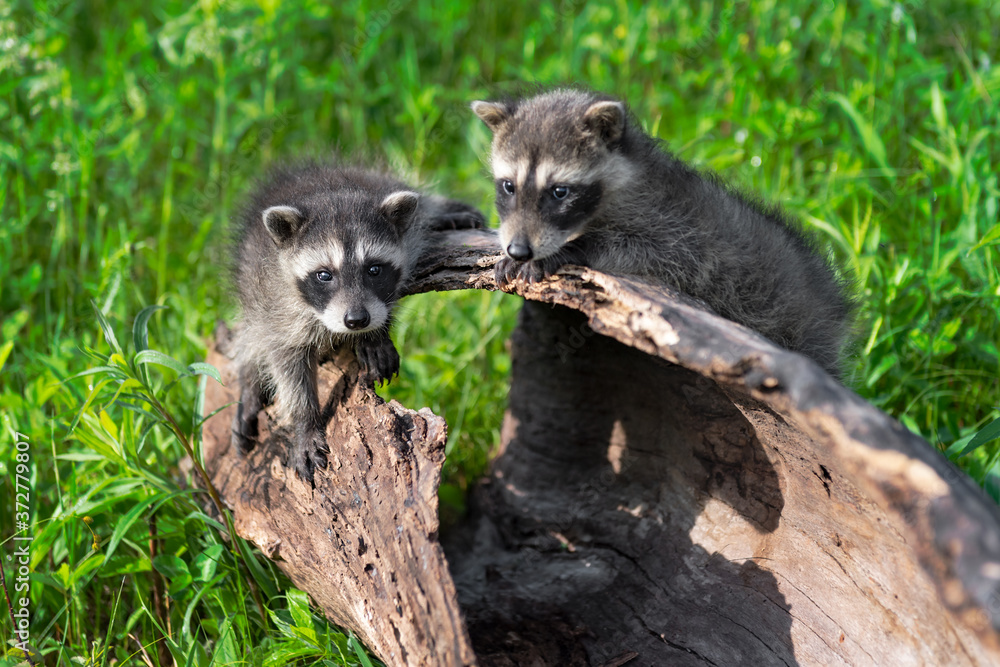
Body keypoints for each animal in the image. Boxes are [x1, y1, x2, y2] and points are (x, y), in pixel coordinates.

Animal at [231, 161, 484, 483]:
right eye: (324, 275)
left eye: (374, 269)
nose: (356, 320)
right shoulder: (274, 300)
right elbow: (286, 362)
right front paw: (304, 423)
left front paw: (374, 336)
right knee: (250, 337)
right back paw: (249, 386)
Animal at [472, 89, 852, 376]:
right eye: (508, 186)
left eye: (559, 192)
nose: (519, 250)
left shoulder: (676, 229)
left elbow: (654, 252)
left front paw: (570, 249)